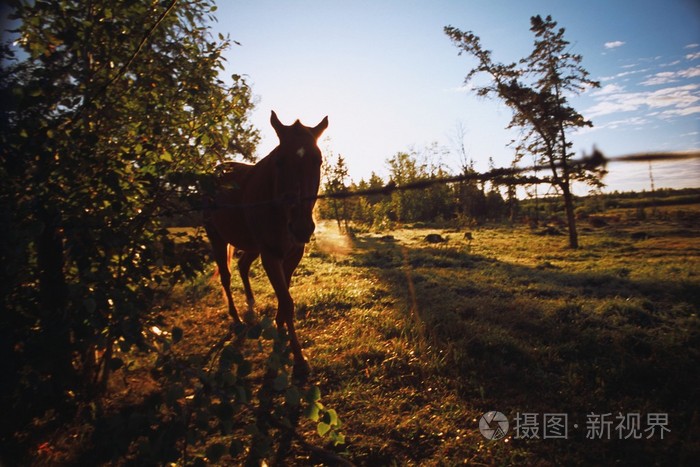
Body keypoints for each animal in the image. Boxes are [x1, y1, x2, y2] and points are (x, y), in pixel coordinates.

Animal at [205, 112, 328, 376]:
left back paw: (251, 306)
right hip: (217, 238)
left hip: (251, 246)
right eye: (279, 161)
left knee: (242, 266)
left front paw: (281, 330)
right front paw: (299, 360)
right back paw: (237, 319)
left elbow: (285, 296)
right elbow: (286, 300)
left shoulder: (292, 254)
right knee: (226, 277)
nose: (301, 228)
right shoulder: (271, 255)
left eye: (318, 161)